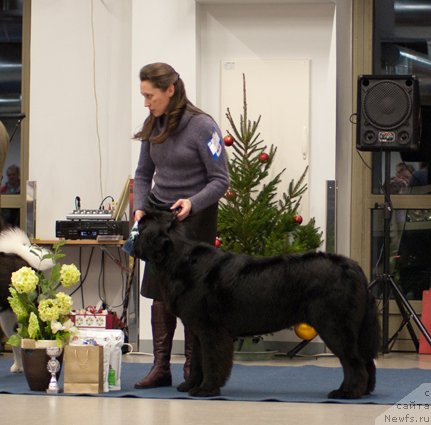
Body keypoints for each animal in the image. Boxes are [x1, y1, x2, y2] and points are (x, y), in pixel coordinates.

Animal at [135, 210, 382, 400]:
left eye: (140, 228)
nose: (133, 242)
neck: (180, 259)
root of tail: (354, 267)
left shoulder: (211, 330)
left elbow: (212, 360)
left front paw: (206, 389)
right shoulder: (196, 329)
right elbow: (197, 359)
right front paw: (189, 386)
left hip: (334, 325)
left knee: (354, 362)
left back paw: (347, 393)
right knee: (365, 360)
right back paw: (363, 391)